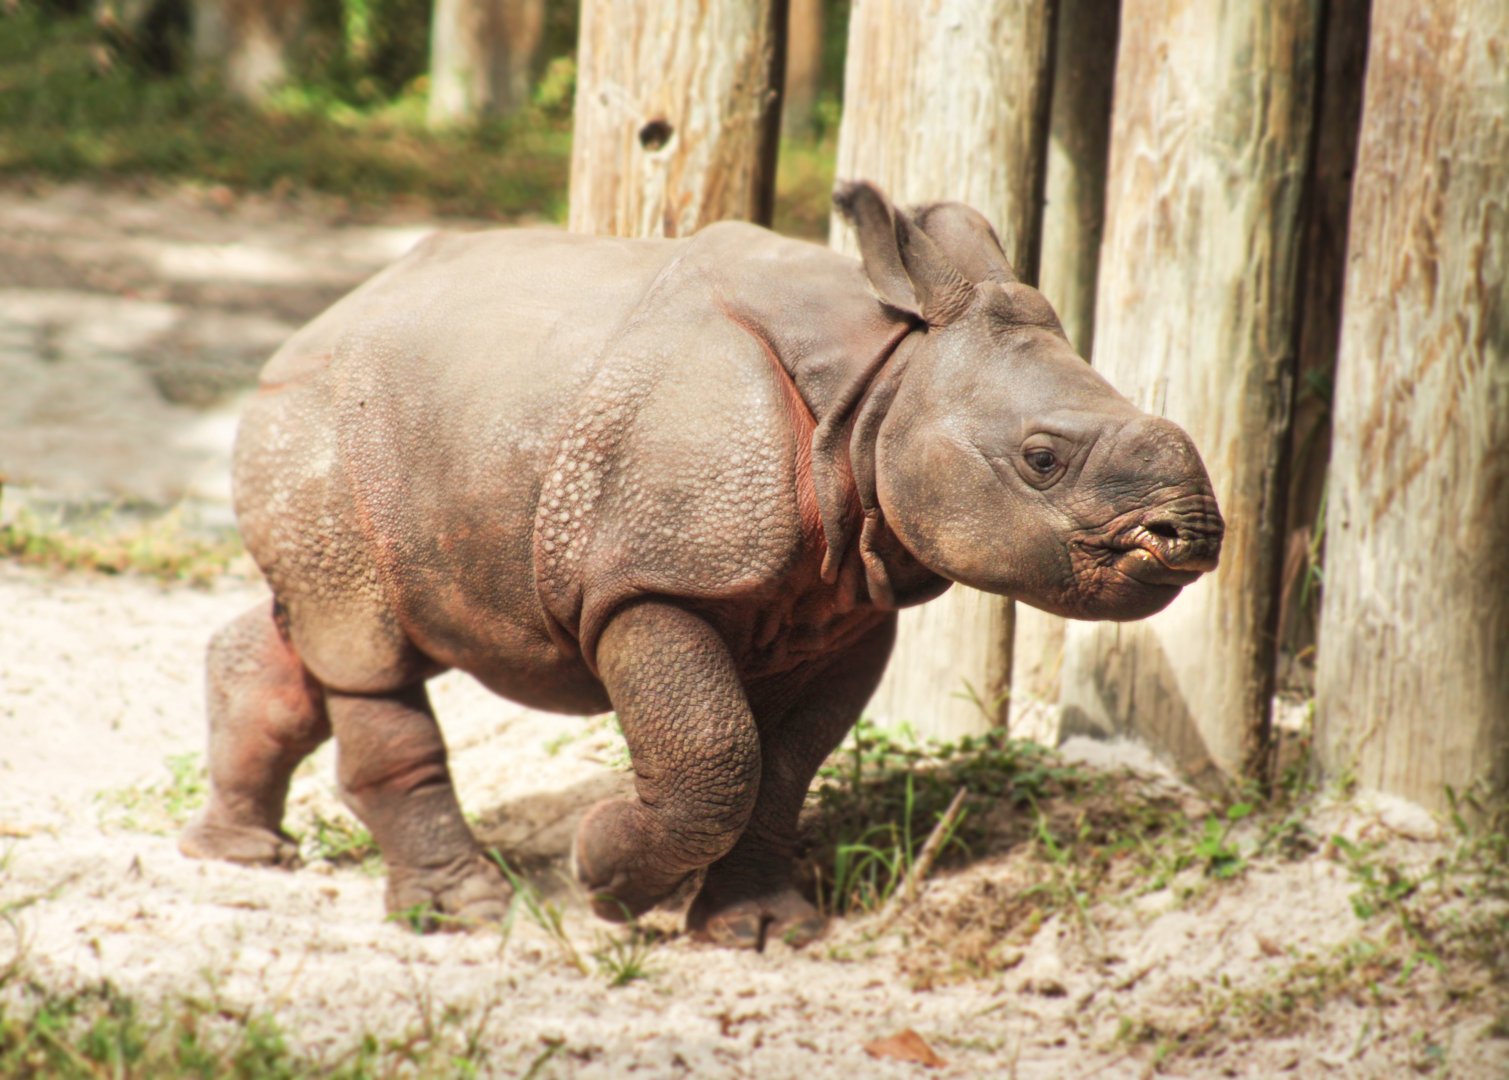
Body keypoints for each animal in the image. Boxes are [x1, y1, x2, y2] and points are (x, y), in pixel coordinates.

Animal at [180, 181, 1223, 948]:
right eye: (1042, 458)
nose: (1194, 537)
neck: (885, 383)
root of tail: (318, 321)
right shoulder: (651, 577)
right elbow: (713, 757)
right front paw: (601, 875)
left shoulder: (846, 602)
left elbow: (785, 765)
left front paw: (757, 930)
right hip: (313, 420)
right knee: (362, 644)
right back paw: (463, 914)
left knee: (327, 629)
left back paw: (238, 853)